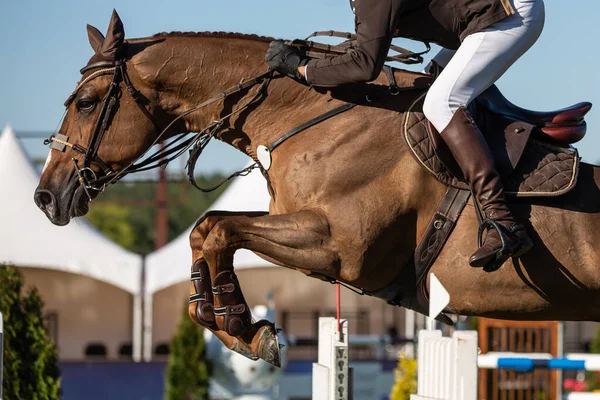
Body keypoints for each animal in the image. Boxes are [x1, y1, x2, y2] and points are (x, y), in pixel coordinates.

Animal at [37, 10, 600, 366]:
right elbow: (207, 230)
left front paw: (239, 322)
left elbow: (217, 228)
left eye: (86, 102)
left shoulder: (341, 248)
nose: (46, 197)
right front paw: (237, 327)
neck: (305, 115)